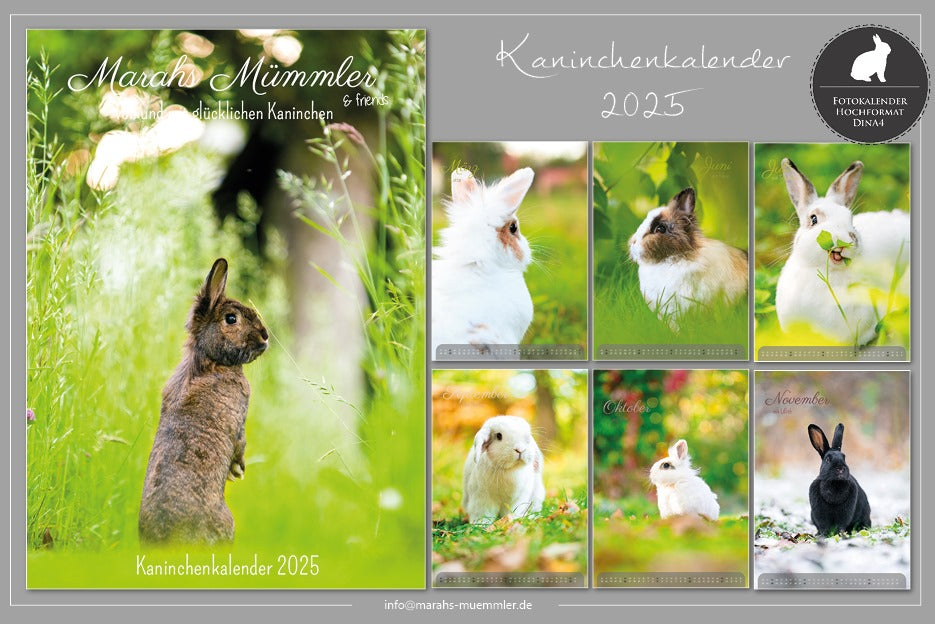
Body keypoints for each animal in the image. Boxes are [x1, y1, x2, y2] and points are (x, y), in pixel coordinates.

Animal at [139, 258, 269, 544]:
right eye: (231, 318)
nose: (266, 335)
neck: (211, 360)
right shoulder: (239, 421)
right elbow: (240, 443)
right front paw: (238, 471)